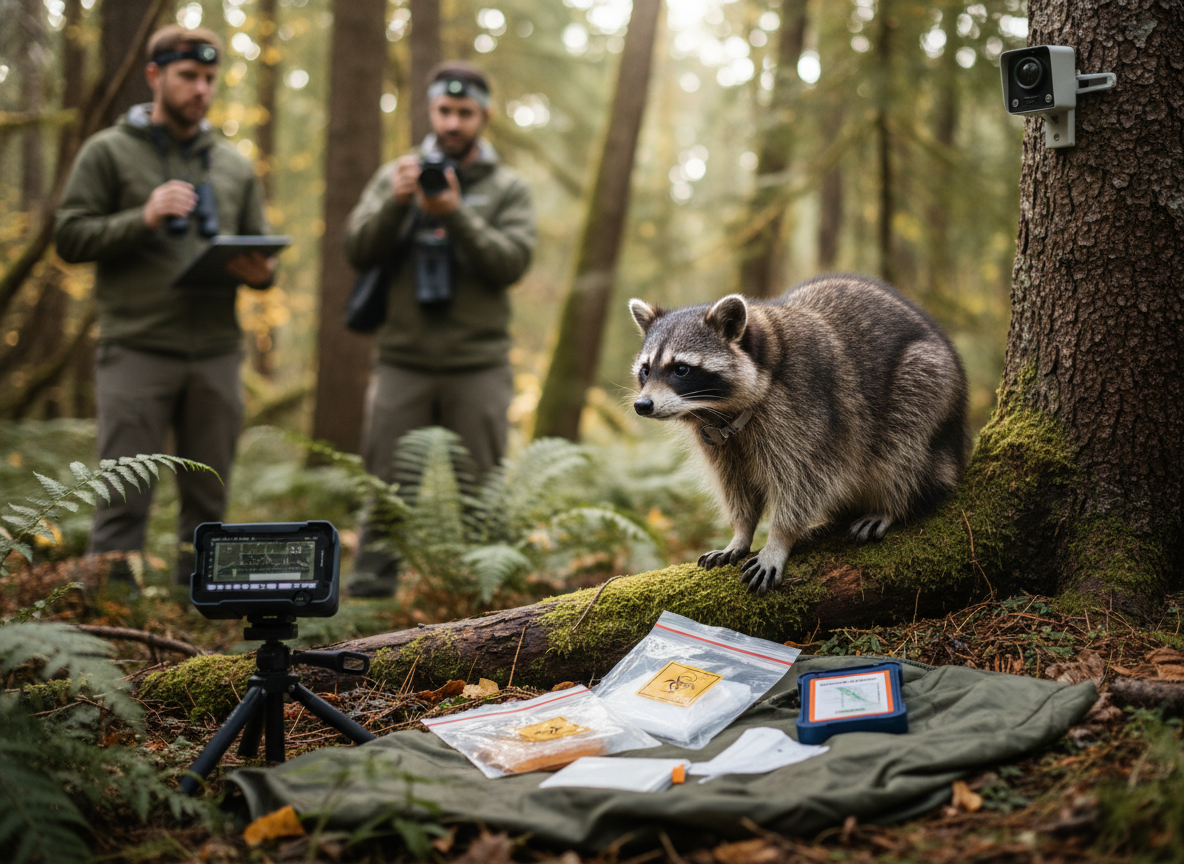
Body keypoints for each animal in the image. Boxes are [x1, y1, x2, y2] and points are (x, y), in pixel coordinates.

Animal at [628, 273, 970, 594]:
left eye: (681, 369)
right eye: (646, 370)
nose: (642, 405)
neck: (719, 411)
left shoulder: (804, 410)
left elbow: (803, 481)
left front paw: (779, 539)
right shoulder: (718, 440)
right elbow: (735, 485)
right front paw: (741, 532)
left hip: (926, 382)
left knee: (904, 448)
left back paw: (892, 505)